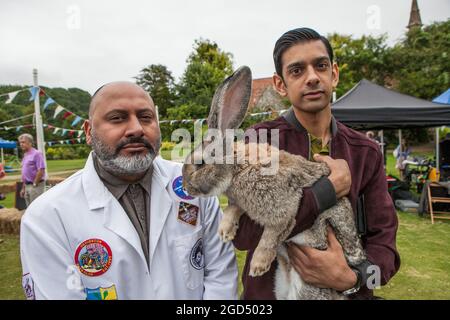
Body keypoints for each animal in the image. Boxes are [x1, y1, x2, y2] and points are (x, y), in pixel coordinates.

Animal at [181, 65, 368, 300]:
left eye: (200, 164)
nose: (185, 186)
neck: (237, 167)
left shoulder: (284, 210)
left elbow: (271, 235)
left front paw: (258, 265)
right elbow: (235, 208)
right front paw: (225, 231)